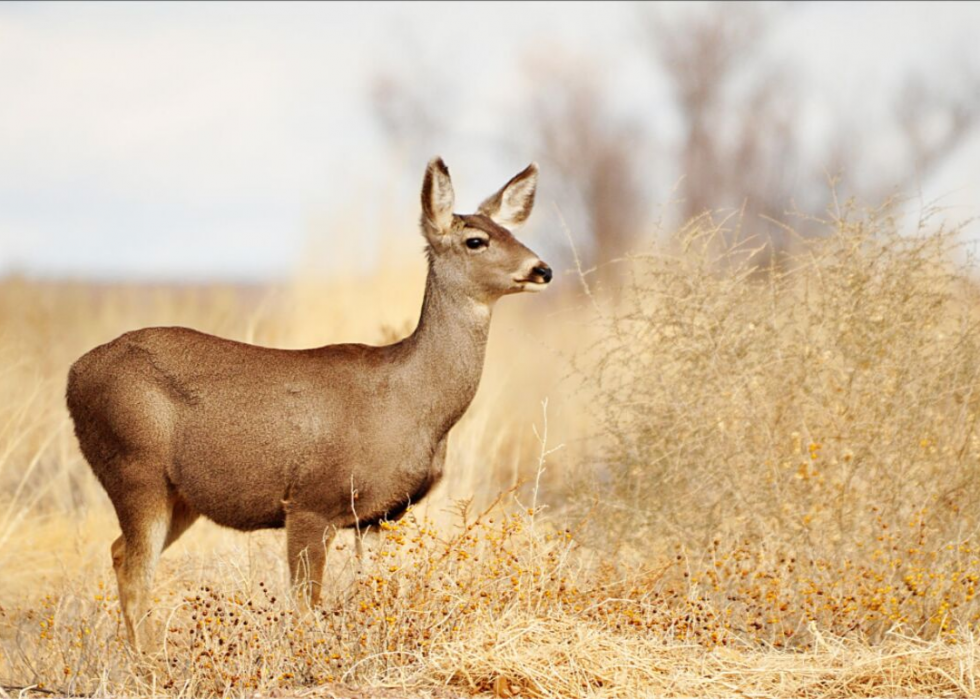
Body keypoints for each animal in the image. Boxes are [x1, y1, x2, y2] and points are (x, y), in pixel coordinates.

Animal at [63, 156, 552, 648]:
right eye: (476, 240)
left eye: (512, 232)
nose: (542, 269)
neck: (412, 405)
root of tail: (74, 375)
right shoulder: (310, 501)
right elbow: (305, 605)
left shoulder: (379, 516)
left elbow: (374, 592)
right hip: (134, 468)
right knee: (136, 572)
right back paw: (150, 661)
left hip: (180, 495)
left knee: (119, 552)